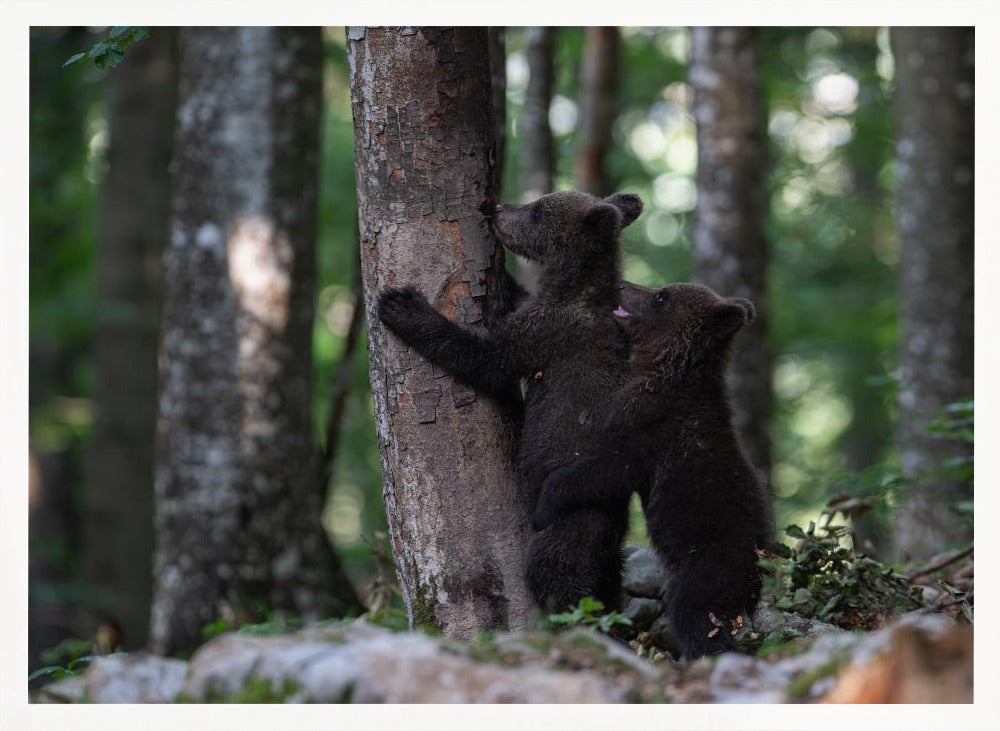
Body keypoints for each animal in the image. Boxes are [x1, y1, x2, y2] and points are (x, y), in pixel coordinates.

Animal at [377, 190, 643, 614]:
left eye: (538, 210)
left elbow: (487, 358)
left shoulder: (547, 332)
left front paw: (403, 305)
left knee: (558, 574)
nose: (497, 208)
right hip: (609, 545)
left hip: (569, 518)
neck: (573, 288)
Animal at [531, 282, 774, 659]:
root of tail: (756, 577)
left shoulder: (650, 429)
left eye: (662, 296)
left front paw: (547, 501)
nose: (622, 284)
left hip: (707, 567)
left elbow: (605, 470)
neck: (664, 371)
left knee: (695, 616)